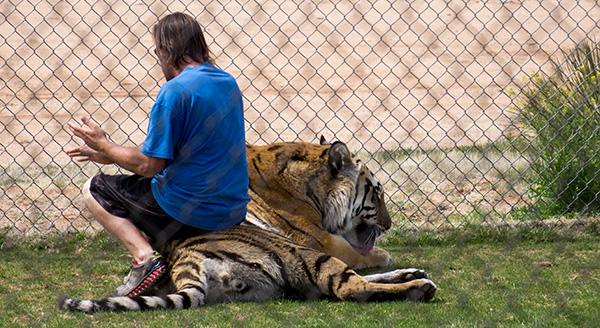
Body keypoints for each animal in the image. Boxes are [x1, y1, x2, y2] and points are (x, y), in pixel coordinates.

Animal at [57, 138, 436, 312]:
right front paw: (386, 255)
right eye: (377, 193)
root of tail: (183, 260)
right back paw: (419, 286)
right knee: (352, 287)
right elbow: (371, 257)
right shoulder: (320, 241)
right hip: (299, 253)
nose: (389, 224)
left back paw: (413, 274)